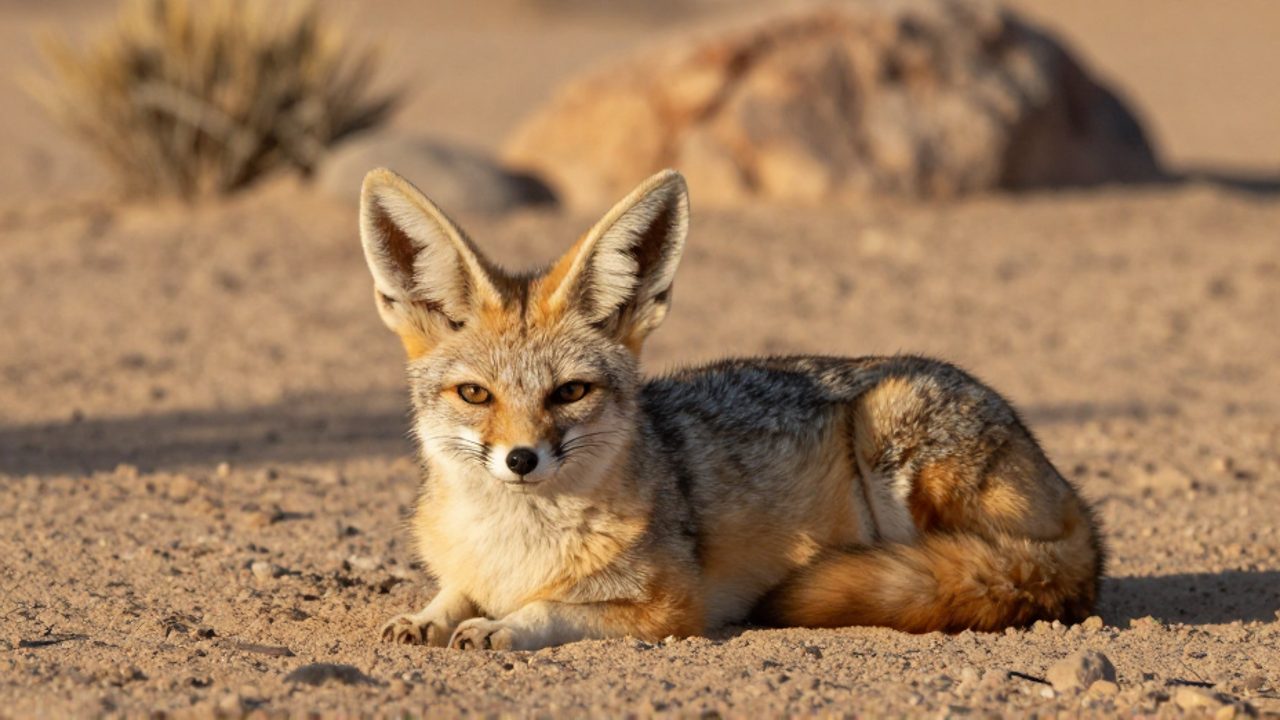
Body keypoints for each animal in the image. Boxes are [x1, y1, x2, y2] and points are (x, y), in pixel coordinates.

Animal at [359, 167, 1104, 651]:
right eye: (475, 394)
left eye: (569, 392)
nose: (520, 459)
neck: (513, 544)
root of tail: (1081, 512)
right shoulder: (470, 567)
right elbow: (453, 590)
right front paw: (429, 616)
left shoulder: (668, 607)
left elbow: (546, 608)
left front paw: (500, 625)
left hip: (889, 430)